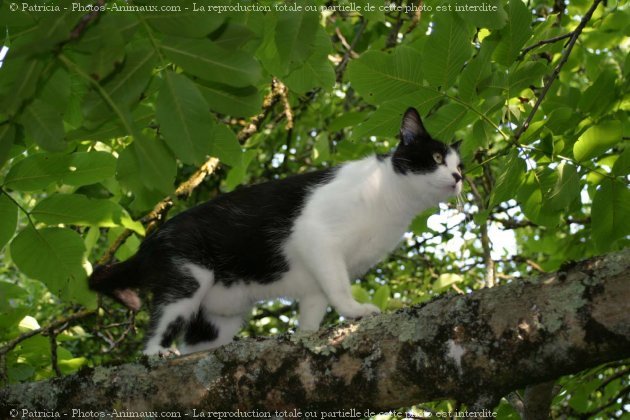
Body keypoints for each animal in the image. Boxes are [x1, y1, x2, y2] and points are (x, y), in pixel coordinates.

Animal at [89, 107, 464, 354]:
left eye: (460, 165)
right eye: (435, 157)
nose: (459, 177)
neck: (392, 201)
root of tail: (150, 242)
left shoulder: (315, 281)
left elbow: (314, 309)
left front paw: (308, 338)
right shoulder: (316, 235)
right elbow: (339, 288)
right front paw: (356, 311)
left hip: (219, 318)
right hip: (188, 277)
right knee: (156, 333)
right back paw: (159, 353)